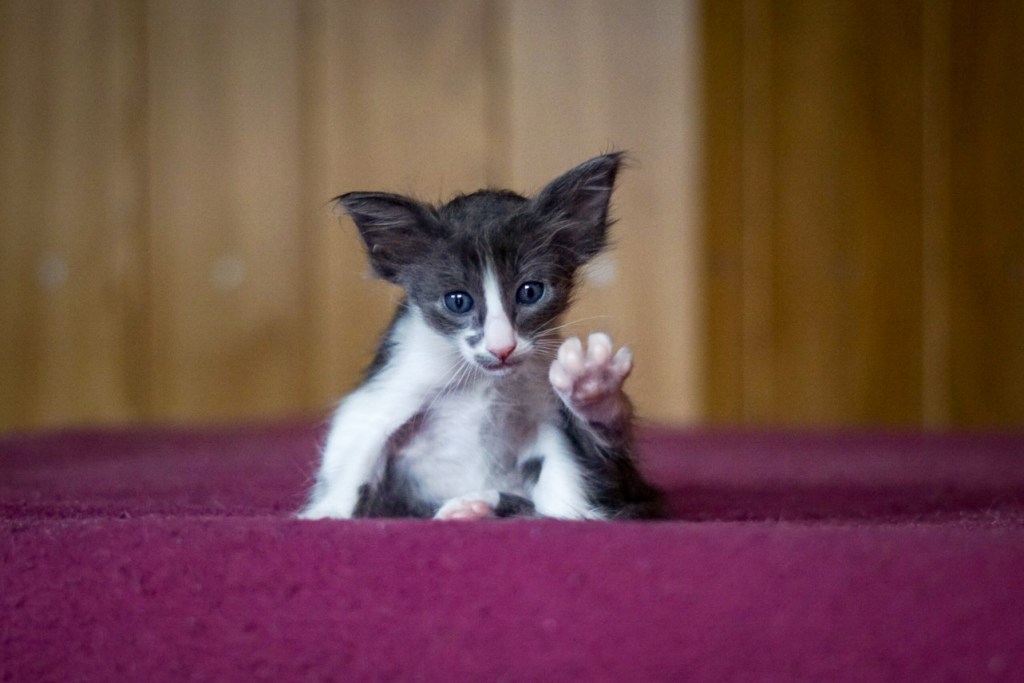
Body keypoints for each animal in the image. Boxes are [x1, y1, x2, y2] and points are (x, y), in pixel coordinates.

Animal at [299, 153, 664, 521]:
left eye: (531, 292)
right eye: (458, 301)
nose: (502, 348)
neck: (481, 382)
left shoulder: (552, 419)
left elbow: (586, 482)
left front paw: (592, 385)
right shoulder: (384, 392)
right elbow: (354, 460)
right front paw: (329, 513)